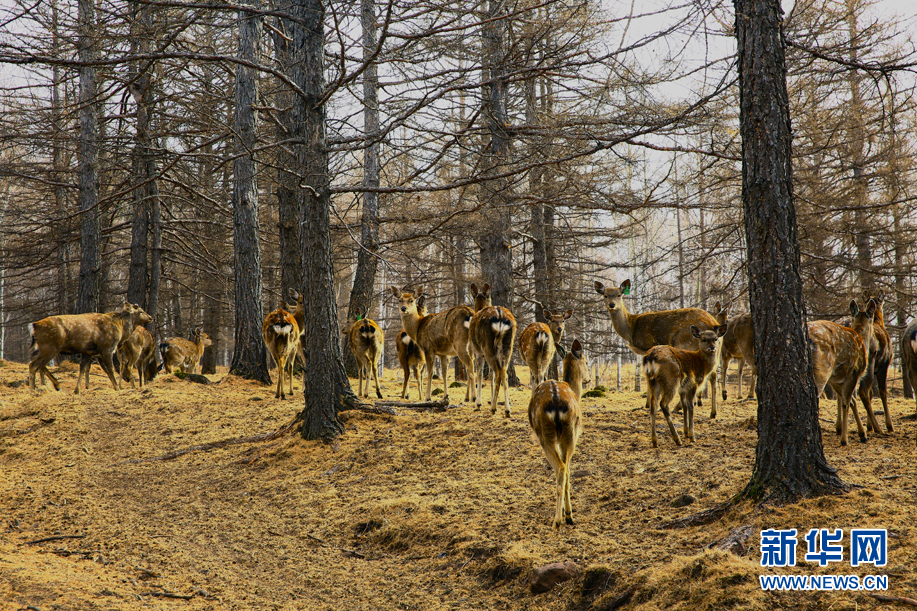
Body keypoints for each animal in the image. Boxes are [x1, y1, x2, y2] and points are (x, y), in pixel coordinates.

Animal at [524, 340, 592, 532]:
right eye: (586, 361)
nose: (589, 379)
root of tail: (555, 402)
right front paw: (566, 513)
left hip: (549, 434)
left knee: (562, 469)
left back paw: (560, 518)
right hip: (567, 432)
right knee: (563, 469)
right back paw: (563, 518)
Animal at [592, 282, 724, 420]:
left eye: (619, 294)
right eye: (605, 295)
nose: (612, 304)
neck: (631, 328)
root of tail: (714, 324)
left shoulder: (649, 345)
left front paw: (648, 403)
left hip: (686, 343)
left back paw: (679, 407)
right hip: (714, 348)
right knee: (713, 373)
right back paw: (713, 412)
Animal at [808, 300, 880, 444]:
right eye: (872, 321)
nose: (876, 345)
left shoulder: (835, 380)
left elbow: (851, 401)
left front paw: (862, 434)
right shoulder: (854, 373)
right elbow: (846, 403)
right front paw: (844, 439)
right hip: (822, 369)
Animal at [860, 290, 896, 432]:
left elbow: (872, 393)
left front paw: (869, 426)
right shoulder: (884, 365)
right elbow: (882, 392)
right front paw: (889, 425)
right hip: (870, 361)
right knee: (862, 391)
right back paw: (878, 428)